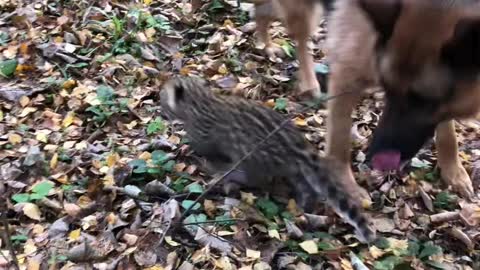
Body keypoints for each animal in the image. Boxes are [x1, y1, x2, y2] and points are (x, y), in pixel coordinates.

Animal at [326, 0, 480, 201]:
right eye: (387, 88)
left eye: (422, 101)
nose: (374, 157)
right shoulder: (346, 71)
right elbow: (339, 135)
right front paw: (343, 184)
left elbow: (447, 129)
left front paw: (452, 170)